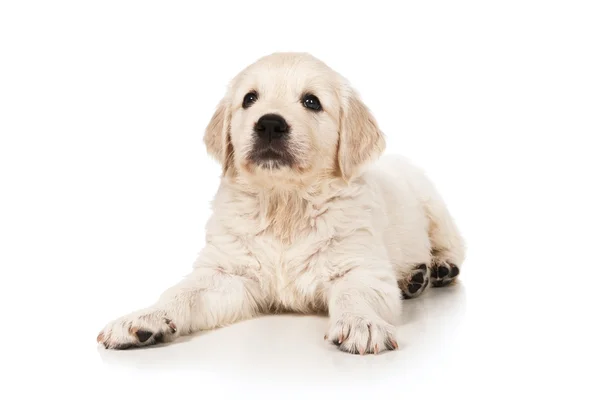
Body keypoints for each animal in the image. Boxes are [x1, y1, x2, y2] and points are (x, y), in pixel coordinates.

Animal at [97, 51, 464, 354]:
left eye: (312, 101)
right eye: (249, 99)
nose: (269, 123)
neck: (285, 204)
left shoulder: (360, 265)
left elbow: (354, 293)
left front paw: (362, 323)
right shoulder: (227, 272)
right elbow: (182, 293)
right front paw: (145, 318)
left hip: (434, 207)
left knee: (454, 246)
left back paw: (435, 269)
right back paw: (415, 279)